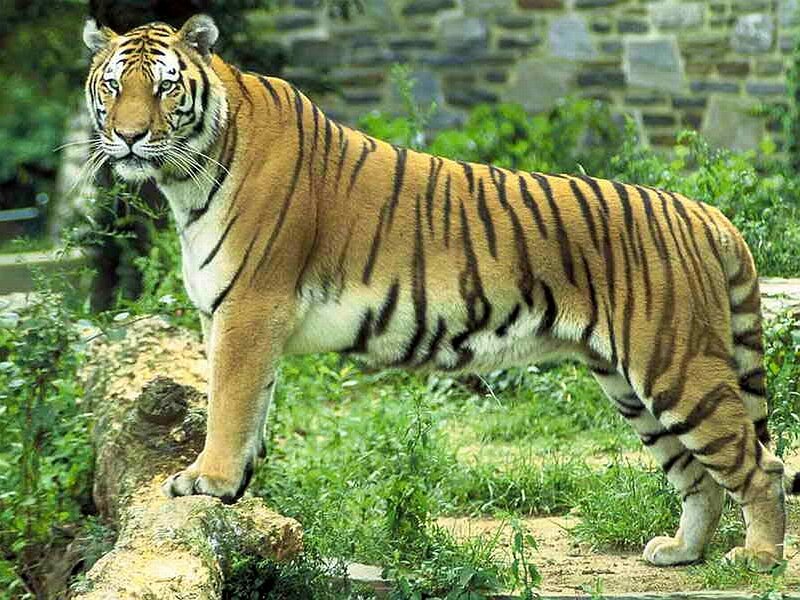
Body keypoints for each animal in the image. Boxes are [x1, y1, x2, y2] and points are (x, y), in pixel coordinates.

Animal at [82, 14, 798, 571]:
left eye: (164, 86)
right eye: (113, 86)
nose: (129, 136)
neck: (187, 178)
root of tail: (704, 213)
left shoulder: (249, 309)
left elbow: (228, 405)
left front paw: (208, 480)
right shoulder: (231, 317)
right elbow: (250, 406)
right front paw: (237, 489)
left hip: (676, 366)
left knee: (760, 465)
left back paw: (757, 558)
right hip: (630, 385)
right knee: (699, 477)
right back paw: (681, 552)